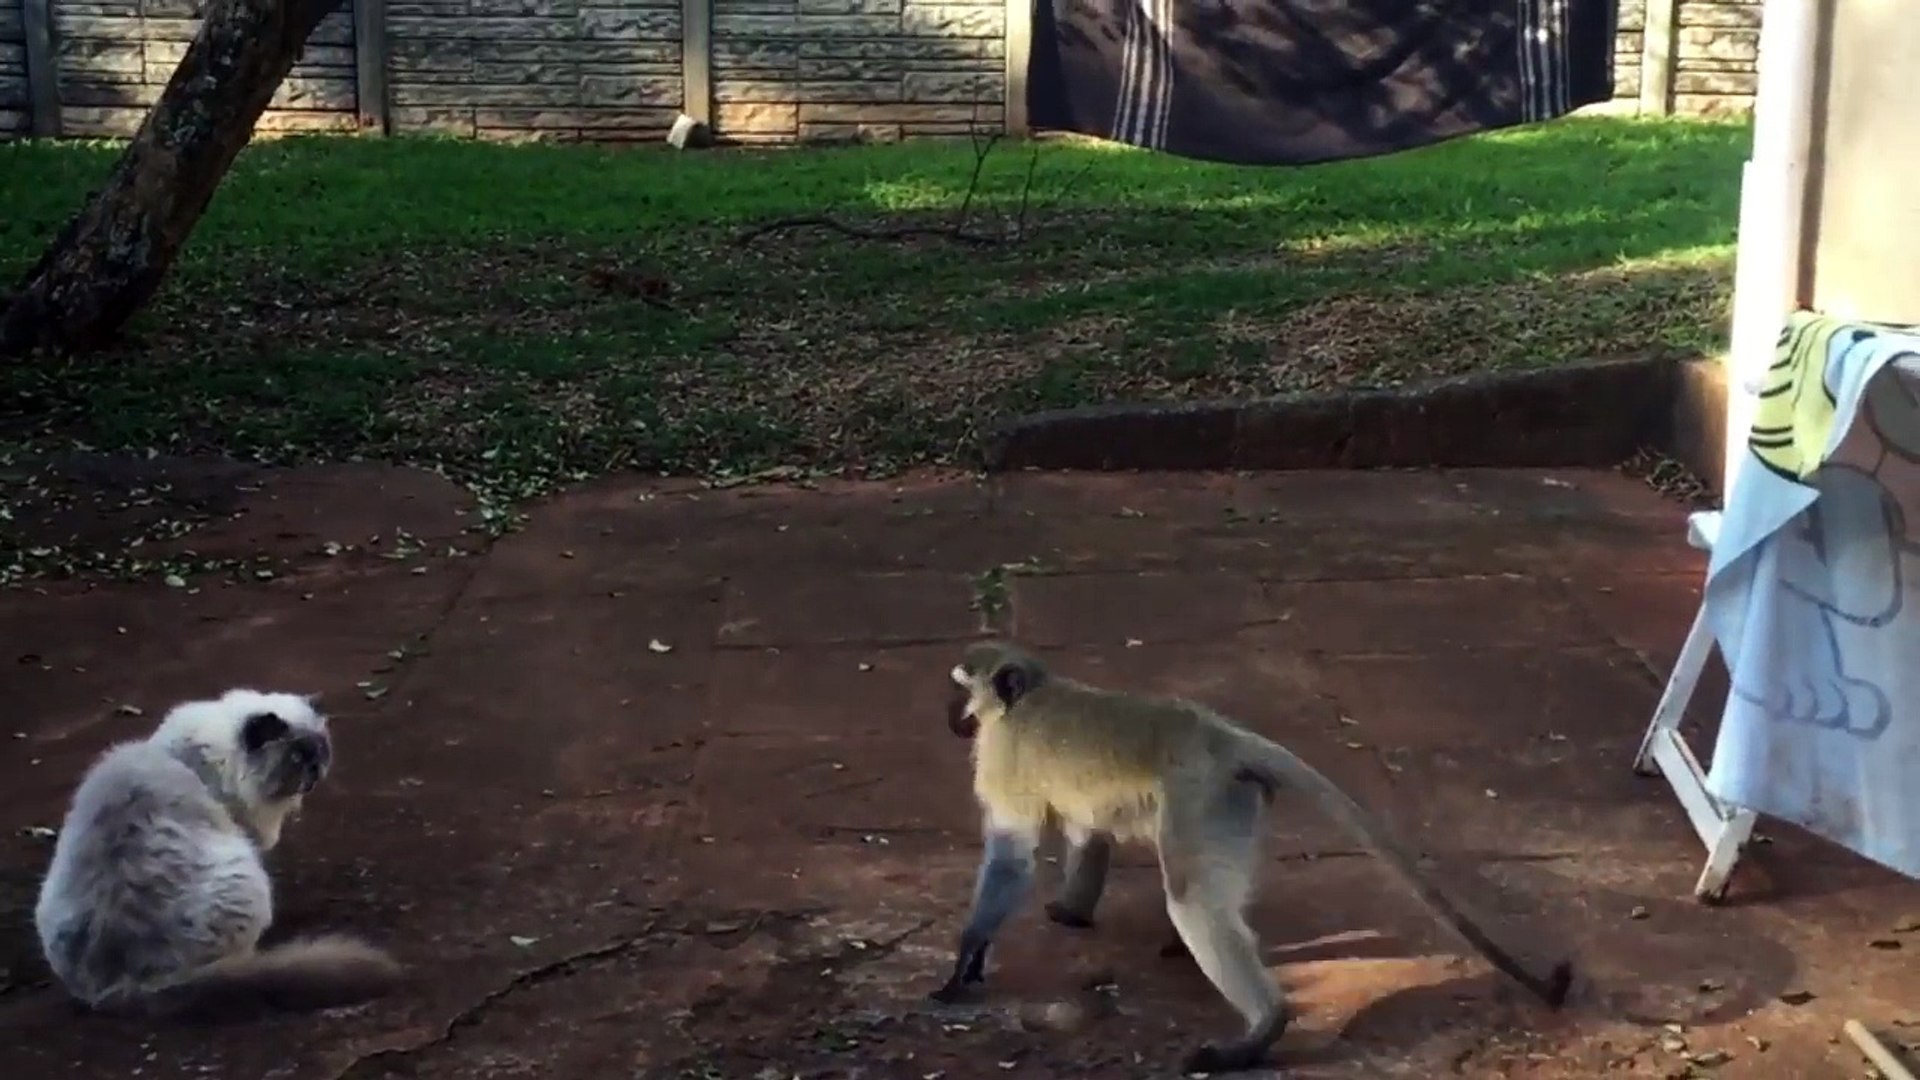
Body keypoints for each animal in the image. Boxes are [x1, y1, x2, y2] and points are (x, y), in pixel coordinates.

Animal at [930, 641, 1572, 1075]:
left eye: (962, 687)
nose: (953, 718)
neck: (1029, 696)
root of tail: (1223, 739)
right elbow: (1091, 834)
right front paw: (1070, 911)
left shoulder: (1002, 755)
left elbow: (1012, 854)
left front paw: (966, 960)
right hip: (1233, 805)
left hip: (1202, 799)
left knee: (1192, 897)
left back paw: (1263, 1027)